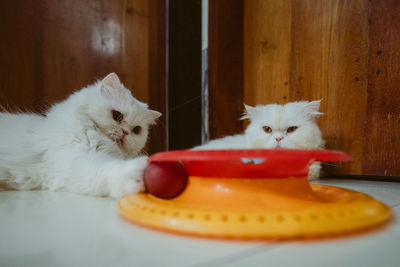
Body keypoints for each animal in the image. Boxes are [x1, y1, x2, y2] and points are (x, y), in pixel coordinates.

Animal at [1, 73, 162, 199]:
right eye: (117, 116)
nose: (125, 132)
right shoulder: (74, 159)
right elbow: (109, 168)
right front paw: (140, 169)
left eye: (136, 130)